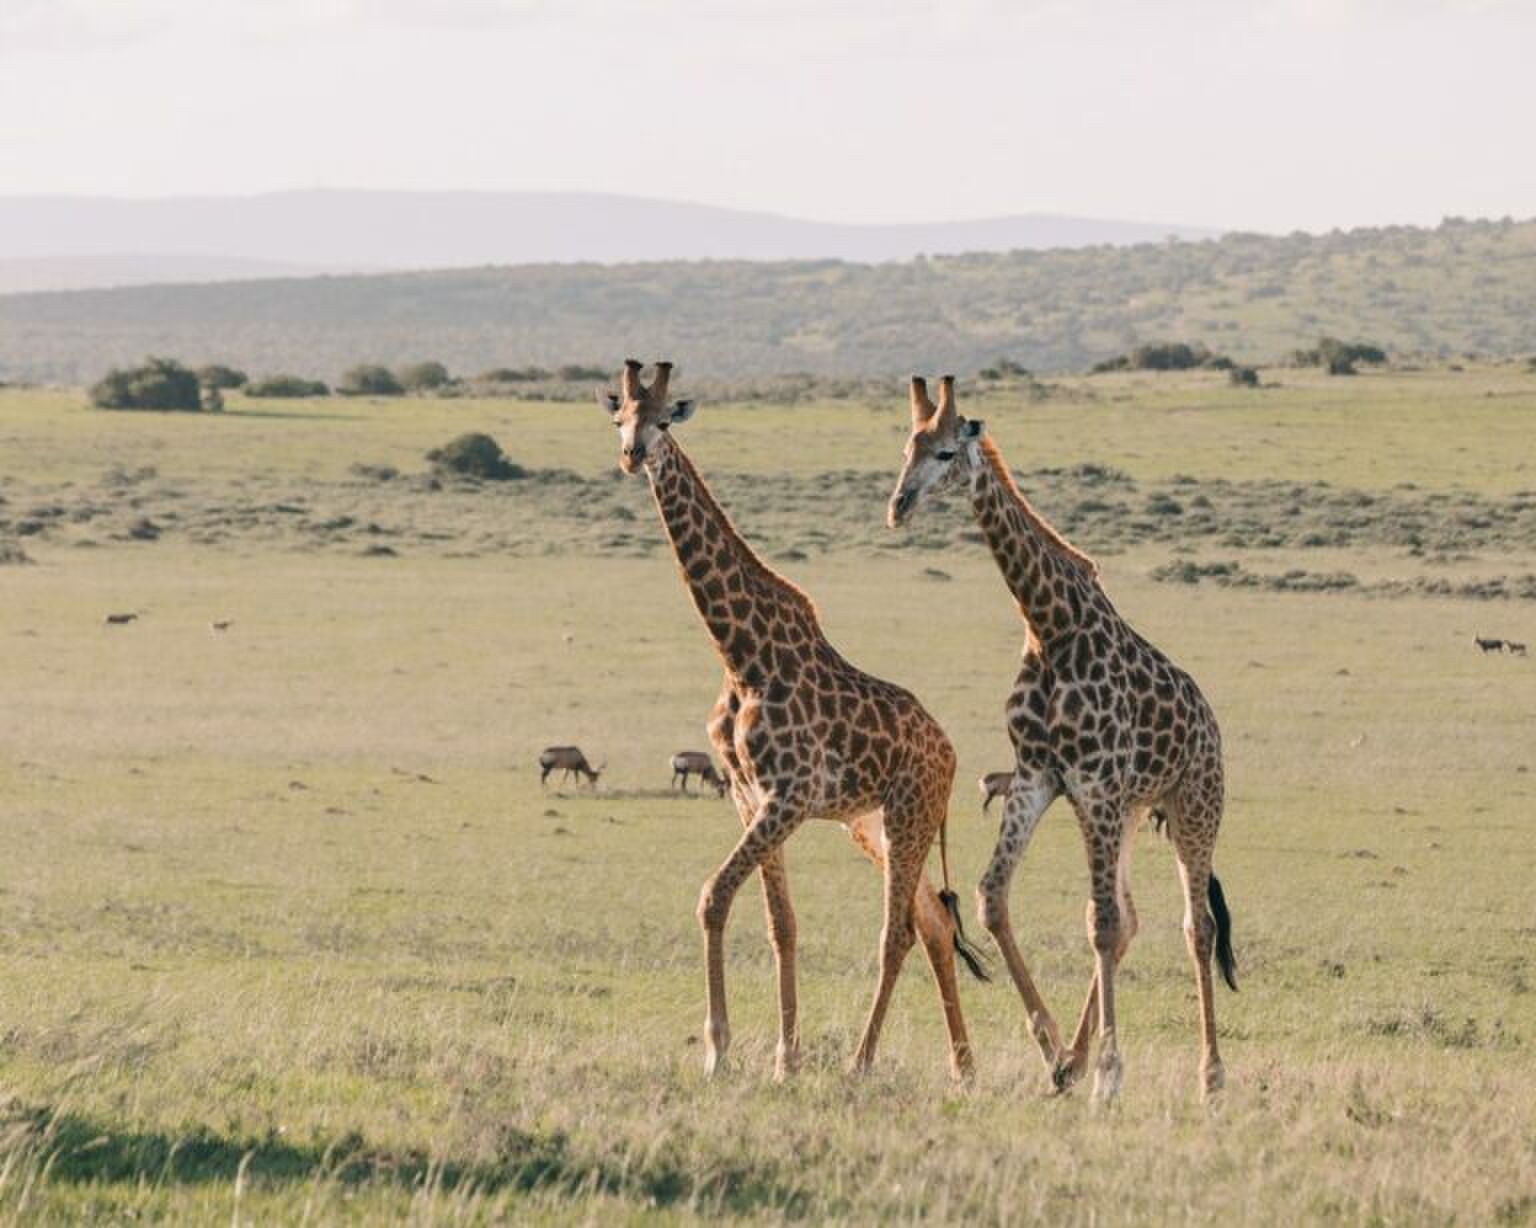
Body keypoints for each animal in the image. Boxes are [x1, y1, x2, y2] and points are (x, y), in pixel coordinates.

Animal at [599, 359, 986, 1081]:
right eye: (619, 419)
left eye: (664, 419)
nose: (632, 455)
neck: (739, 654)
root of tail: (950, 753)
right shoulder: (749, 797)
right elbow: (782, 924)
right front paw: (784, 1057)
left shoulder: (790, 794)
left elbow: (713, 897)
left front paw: (719, 1051)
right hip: (875, 825)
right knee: (933, 923)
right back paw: (964, 1067)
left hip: (908, 814)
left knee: (899, 930)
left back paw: (864, 1063)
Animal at [886, 375, 1238, 1102]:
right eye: (906, 447)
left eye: (944, 453)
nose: (898, 507)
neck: (1049, 625)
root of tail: (1211, 727)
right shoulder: (1039, 777)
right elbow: (993, 898)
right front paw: (1053, 1049)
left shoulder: (1095, 785)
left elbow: (1100, 925)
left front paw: (1108, 1074)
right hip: (1130, 812)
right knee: (1130, 918)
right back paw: (1077, 1057)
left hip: (1194, 808)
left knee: (1195, 927)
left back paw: (1211, 1075)